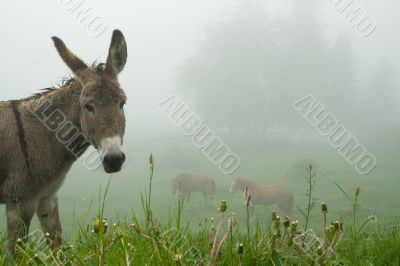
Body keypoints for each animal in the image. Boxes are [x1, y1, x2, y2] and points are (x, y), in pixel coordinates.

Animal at [0, 30, 127, 252]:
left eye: (122, 103)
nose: (114, 160)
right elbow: (16, 252)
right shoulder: (20, 202)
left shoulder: (48, 197)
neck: (42, 134)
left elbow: (57, 245)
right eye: (88, 107)